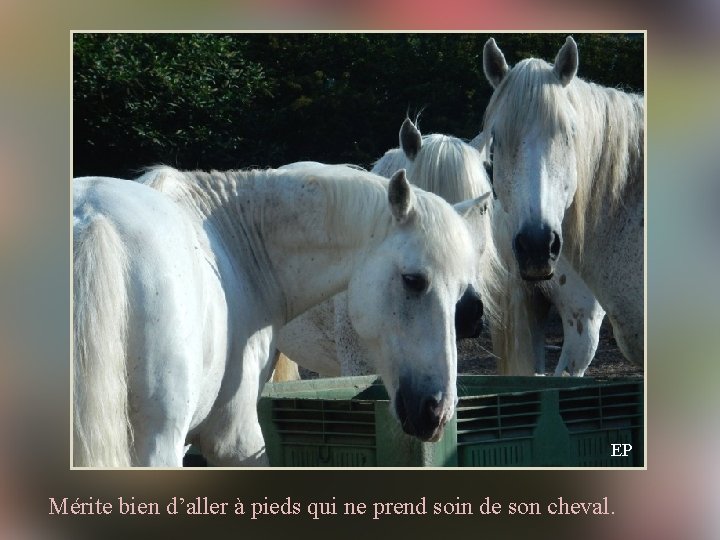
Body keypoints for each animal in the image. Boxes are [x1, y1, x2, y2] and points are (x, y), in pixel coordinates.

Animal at [73, 164, 487, 467]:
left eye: (460, 294)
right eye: (413, 280)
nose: (436, 412)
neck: (235, 240)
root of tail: (91, 220)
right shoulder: (236, 442)